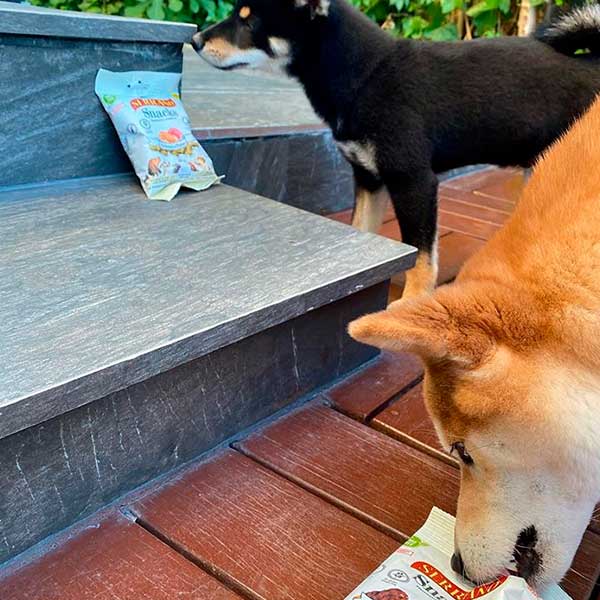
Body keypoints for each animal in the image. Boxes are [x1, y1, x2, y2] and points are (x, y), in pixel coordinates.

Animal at [193, 2, 600, 298]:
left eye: (248, 21)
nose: (195, 39)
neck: (365, 76)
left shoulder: (413, 182)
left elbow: (421, 259)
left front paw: (410, 303)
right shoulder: (368, 178)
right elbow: (362, 231)